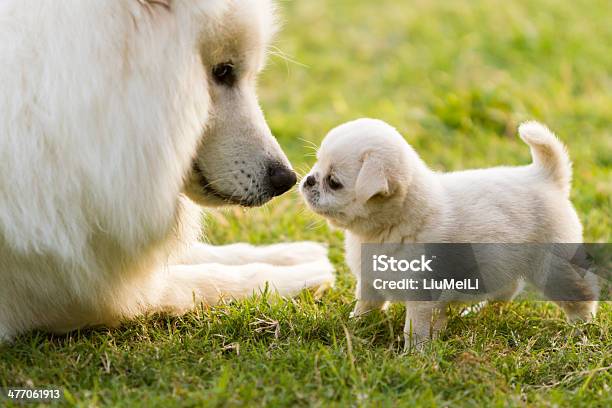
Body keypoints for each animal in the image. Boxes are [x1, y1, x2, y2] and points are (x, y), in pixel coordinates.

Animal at [0, 0, 332, 342]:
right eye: (223, 71)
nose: (286, 179)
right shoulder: (67, 291)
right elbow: (201, 281)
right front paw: (297, 275)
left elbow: (202, 254)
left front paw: (292, 253)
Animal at [302, 118, 596, 348]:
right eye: (316, 166)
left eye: (333, 182)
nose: (307, 180)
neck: (385, 228)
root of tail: (546, 177)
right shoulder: (370, 283)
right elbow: (364, 308)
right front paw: (354, 328)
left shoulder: (421, 296)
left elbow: (415, 329)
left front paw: (414, 356)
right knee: (508, 288)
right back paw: (480, 311)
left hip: (555, 268)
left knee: (581, 294)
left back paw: (581, 329)